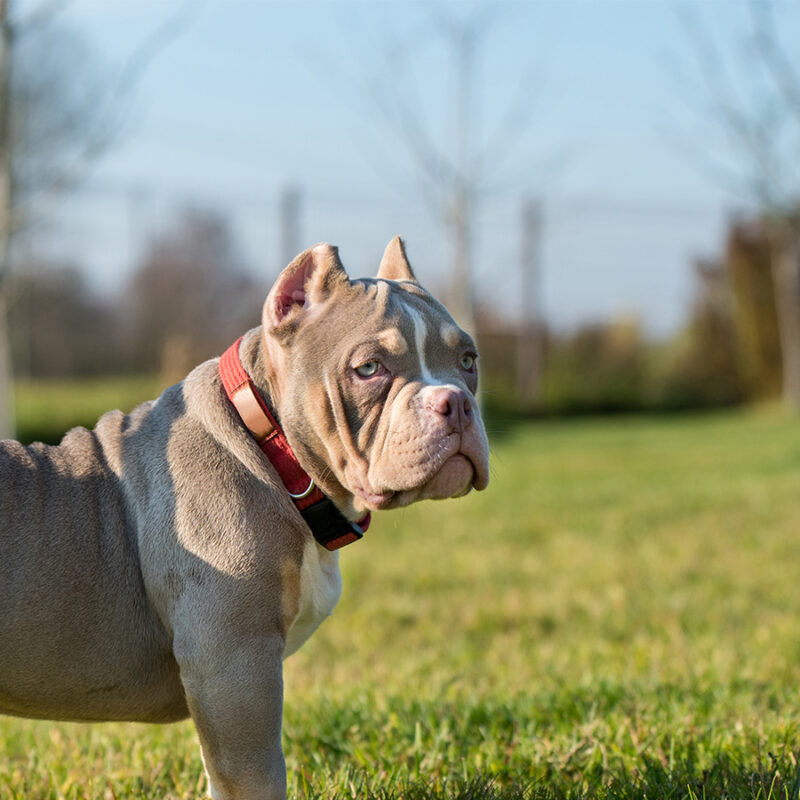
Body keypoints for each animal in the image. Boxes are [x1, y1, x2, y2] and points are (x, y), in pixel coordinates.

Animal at [0, 237, 490, 799]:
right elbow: (259, 775)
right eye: (369, 369)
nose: (455, 402)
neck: (274, 451)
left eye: (469, 360)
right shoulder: (235, 671)